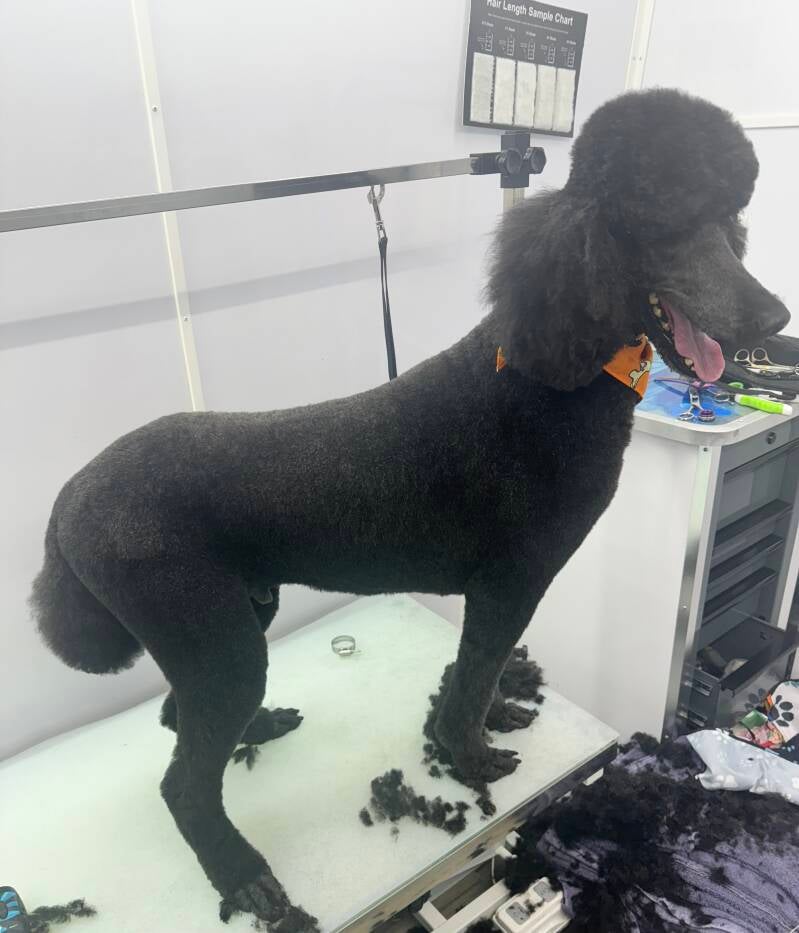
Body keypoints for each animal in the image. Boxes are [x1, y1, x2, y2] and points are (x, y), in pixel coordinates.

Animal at [30, 89, 789, 928]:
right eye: (664, 217)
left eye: (729, 215)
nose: (771, 317)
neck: (548, 371)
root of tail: (68, 501)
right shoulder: (507, 585)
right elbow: (472, 679)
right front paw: (471, 754)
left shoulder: (501, 593)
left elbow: (475, 677)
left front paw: (486, 721)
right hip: (210, 633)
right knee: (182, 786)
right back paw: (242, 873)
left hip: (230, 621)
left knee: (180, 719)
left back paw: (256, 731)